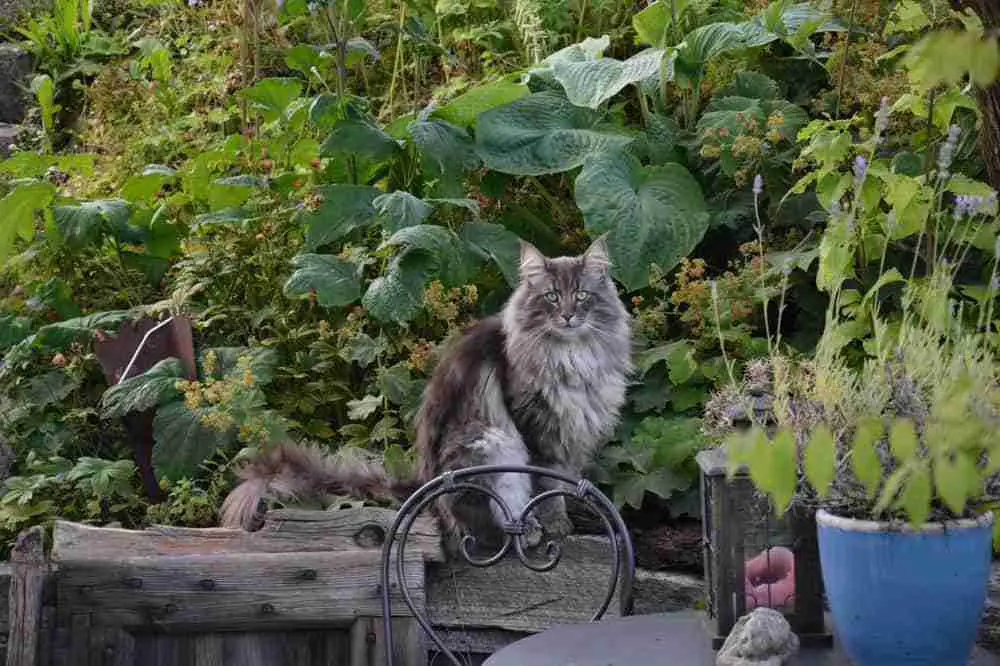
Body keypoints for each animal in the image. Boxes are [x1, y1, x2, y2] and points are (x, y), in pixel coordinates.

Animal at [222, 236, 628, 548]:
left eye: (582, 296)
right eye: (551, 297)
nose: (568, 316)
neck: (572, 356)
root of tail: (424, 486)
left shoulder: (573, 432)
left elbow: (564, 482)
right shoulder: (536, 428)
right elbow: (547, 485)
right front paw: (556, 526)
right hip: (492, 441)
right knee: (484, 527)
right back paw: (524, 532)